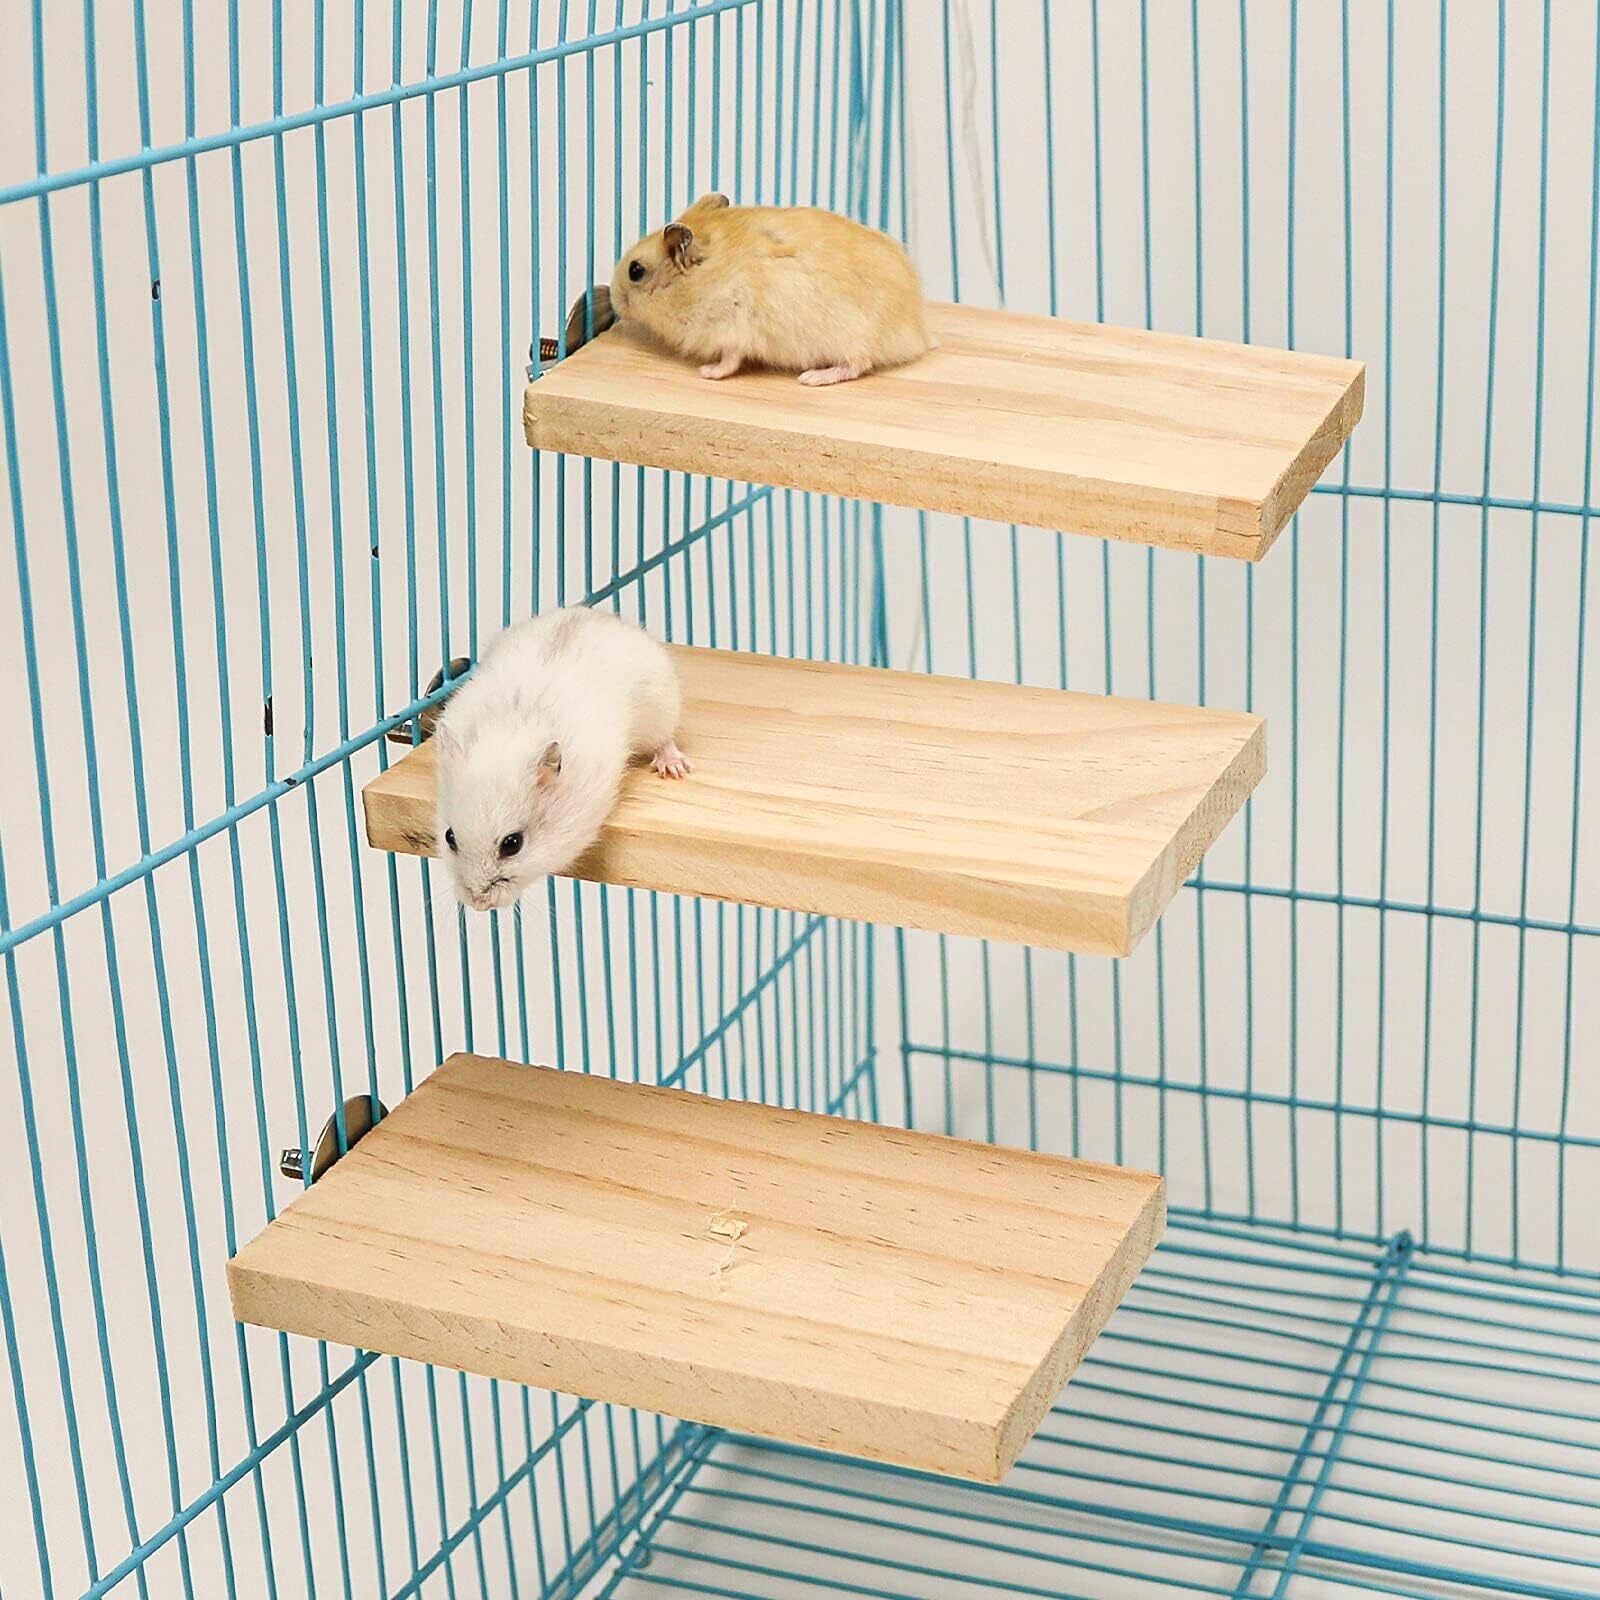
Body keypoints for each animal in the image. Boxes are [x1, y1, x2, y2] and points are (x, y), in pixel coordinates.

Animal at [432, 607, 690, 912]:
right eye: (450, 837)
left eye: (512, 844)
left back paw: (674, 767)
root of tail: (597, 614)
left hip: (662, 706)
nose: (479, 904)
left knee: (664, 739)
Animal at [610, 193, 931, 385]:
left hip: (850, 336)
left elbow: (729, 361)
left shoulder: (731, 329)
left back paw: (810, 378)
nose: (612, 297)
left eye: (635, 271)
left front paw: (707, 373)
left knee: (857, 364)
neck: (701, 280)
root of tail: (918, 333)